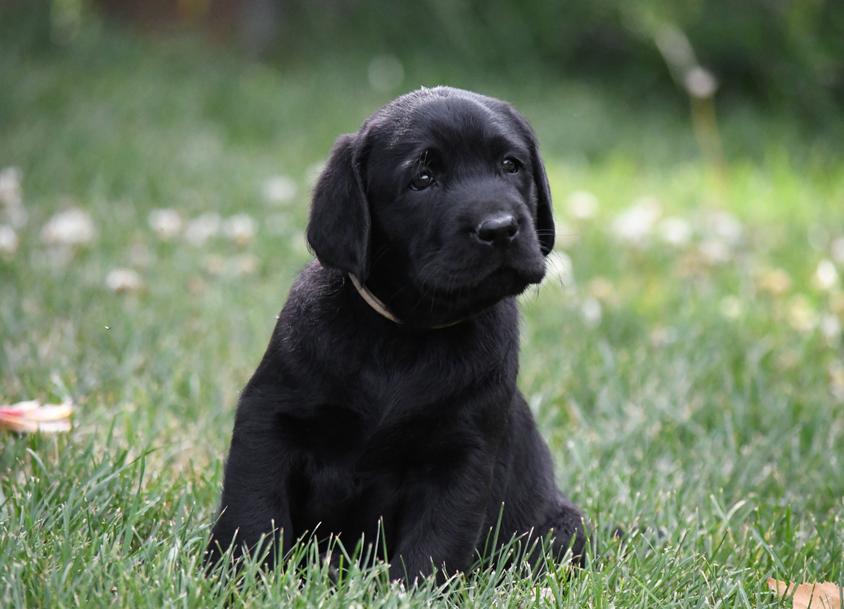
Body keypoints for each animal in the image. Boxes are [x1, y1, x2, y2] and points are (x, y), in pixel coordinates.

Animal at [208, 85, 584, 580]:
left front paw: (412, 589)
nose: (501, 229)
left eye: (511, 165)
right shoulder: (269, 416)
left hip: (564, 528)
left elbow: (436, 541)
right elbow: (252, 507)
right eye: (422, 179)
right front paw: (241, 576)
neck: (407, 334)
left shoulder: (462, 453)